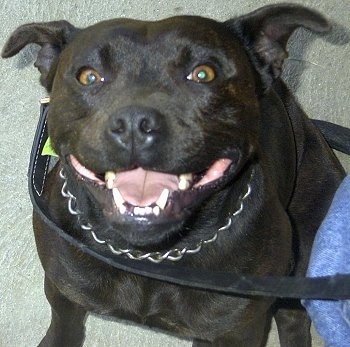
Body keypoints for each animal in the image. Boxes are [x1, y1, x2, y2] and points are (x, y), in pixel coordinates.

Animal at [2, 3, 344, 347]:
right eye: (88, 76)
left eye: (204, 73)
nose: (134, 123)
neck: (151, 256)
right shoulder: (63, 295)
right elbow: (63, 327)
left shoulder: (240, 330)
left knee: (293, 318)